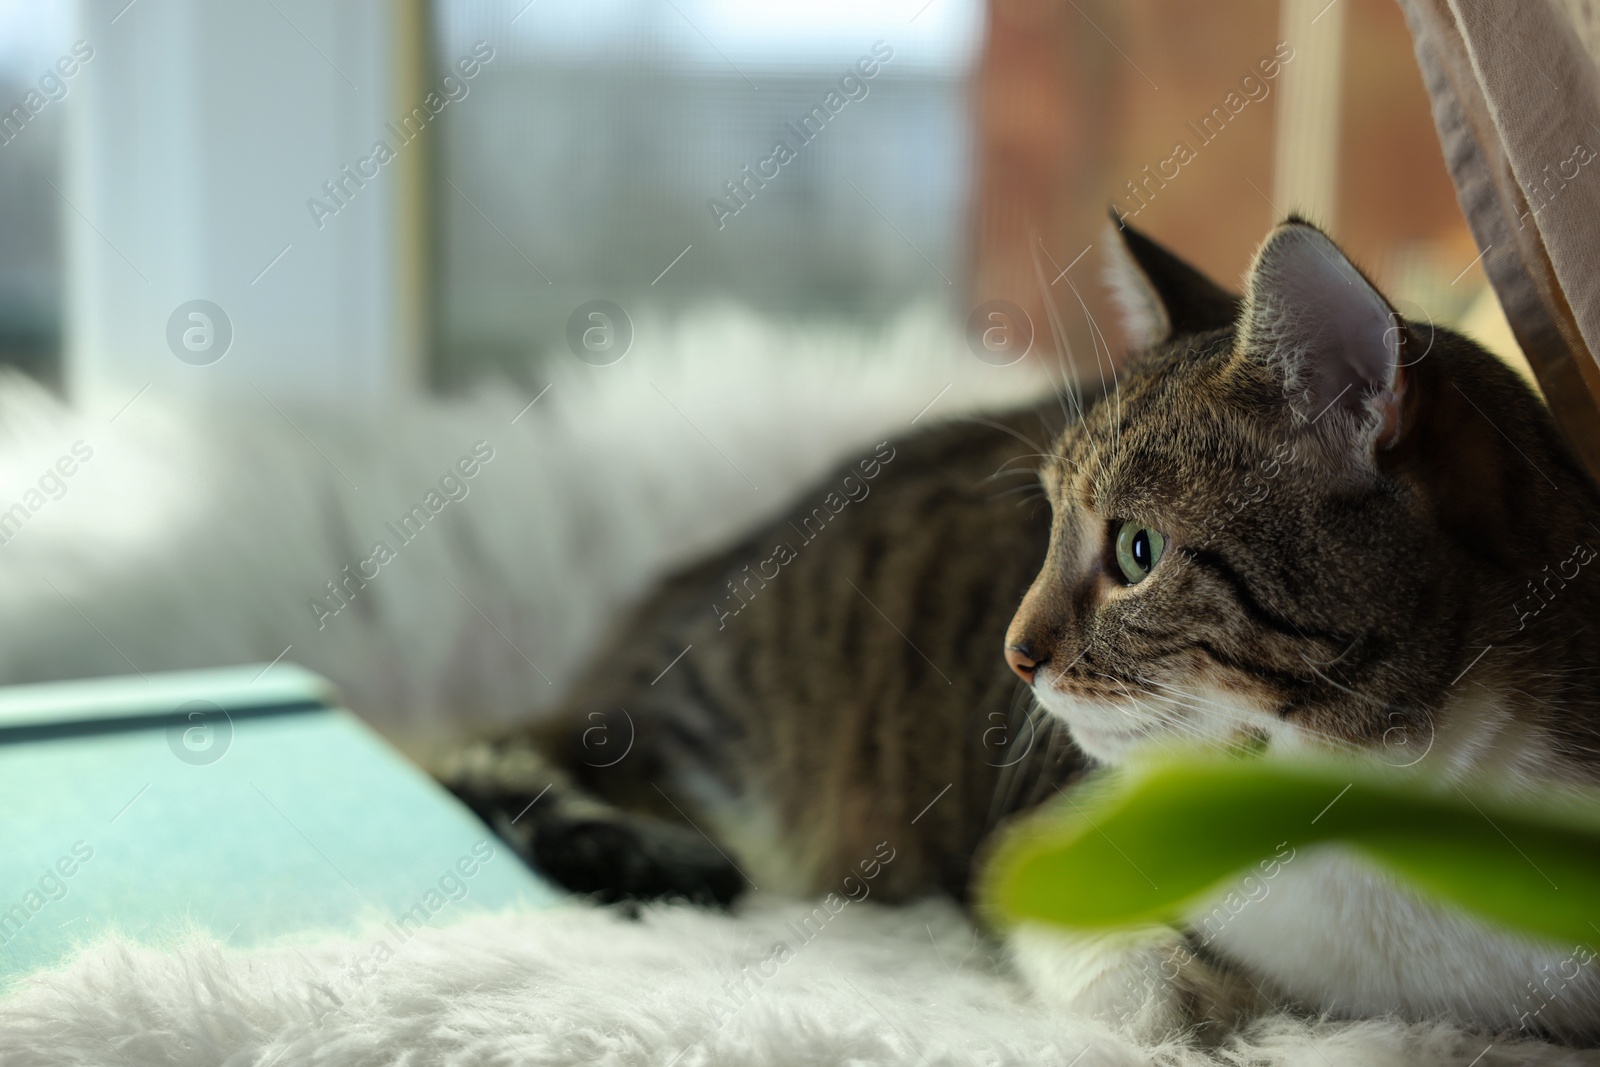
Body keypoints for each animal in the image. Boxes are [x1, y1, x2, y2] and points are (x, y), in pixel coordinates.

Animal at [441, 220, 1600, 1049]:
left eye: (1137, 550)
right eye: (1044, 527)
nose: (1016, 652)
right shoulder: (1025, 842)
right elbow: (1132, 977)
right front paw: (1202, 1000)